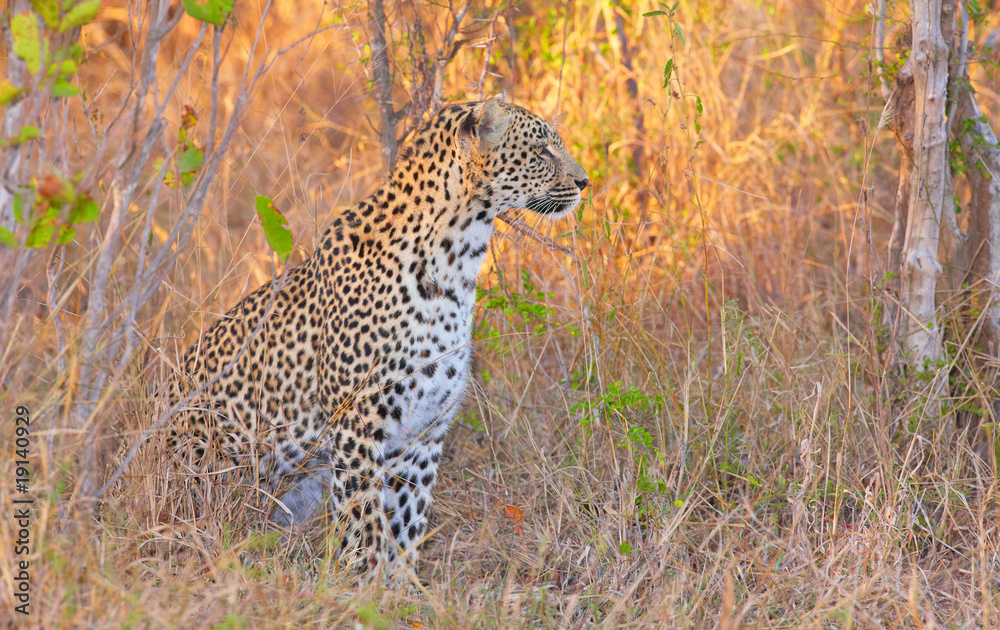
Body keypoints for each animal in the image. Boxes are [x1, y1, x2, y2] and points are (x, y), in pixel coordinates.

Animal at [167, 92, 588, 576]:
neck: (458, 259)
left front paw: (399, 586)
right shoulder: (358, 419)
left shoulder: (424, 428)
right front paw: (362, 581)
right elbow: (364, 518)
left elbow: (407, 520)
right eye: (542, 150)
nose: (585, 182)